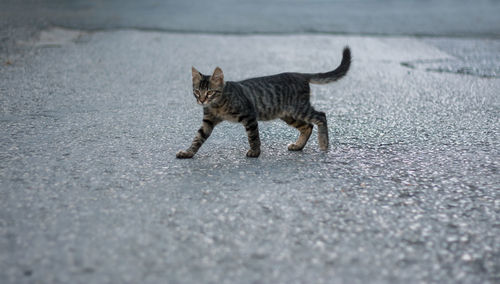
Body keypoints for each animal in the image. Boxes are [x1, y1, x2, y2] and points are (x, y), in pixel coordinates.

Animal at [176, 46, 352, 158]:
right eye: (197, 91)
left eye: (210, 92)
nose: (201, 100)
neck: (217, 105)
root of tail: (300, 74)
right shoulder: (208, 121)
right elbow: (197, 138)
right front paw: (188, 152)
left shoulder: (249, 115)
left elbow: (253, 136)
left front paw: (255, 152)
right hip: (288, 115)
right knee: (307, 126)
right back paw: (298, 146)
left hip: (298, 108)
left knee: (321, 116)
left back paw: (324, 143)